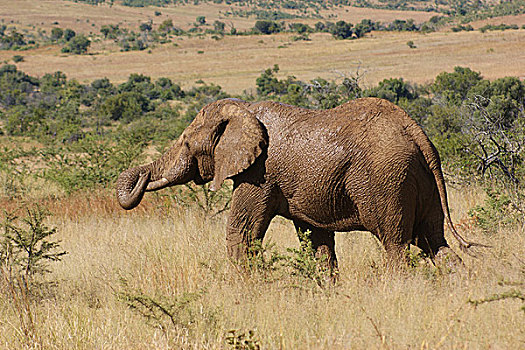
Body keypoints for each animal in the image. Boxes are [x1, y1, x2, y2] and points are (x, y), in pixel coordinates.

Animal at [116, 97, 472, 272]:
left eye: (187, 142)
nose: (139, 178)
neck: (244, 109)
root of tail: (416, 132)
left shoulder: (259, 173)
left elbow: (243, 231)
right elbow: (316, 241)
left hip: (388, 179)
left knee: (396, 245)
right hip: (420, 179)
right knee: (434, 243)